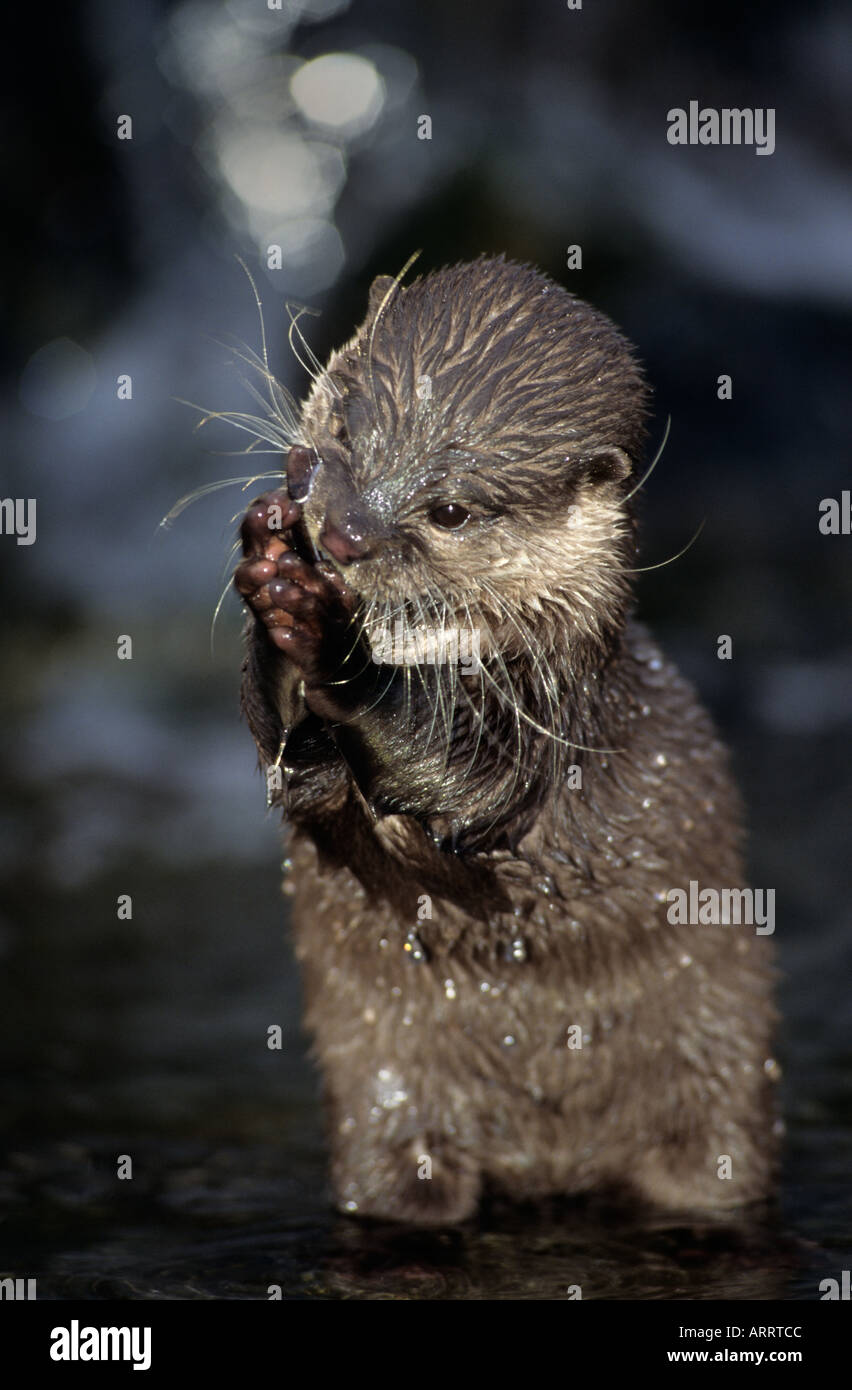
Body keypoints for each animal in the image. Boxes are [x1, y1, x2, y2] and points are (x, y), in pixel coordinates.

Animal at [232, 256, 778, 1225]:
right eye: (344, 426)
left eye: (449, 511)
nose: (343, 532)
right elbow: (291, 765)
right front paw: (272, 570)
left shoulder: (555, 725)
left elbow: (469, 784)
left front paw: (327, 634)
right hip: (384, 1101)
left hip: (724, 1079)